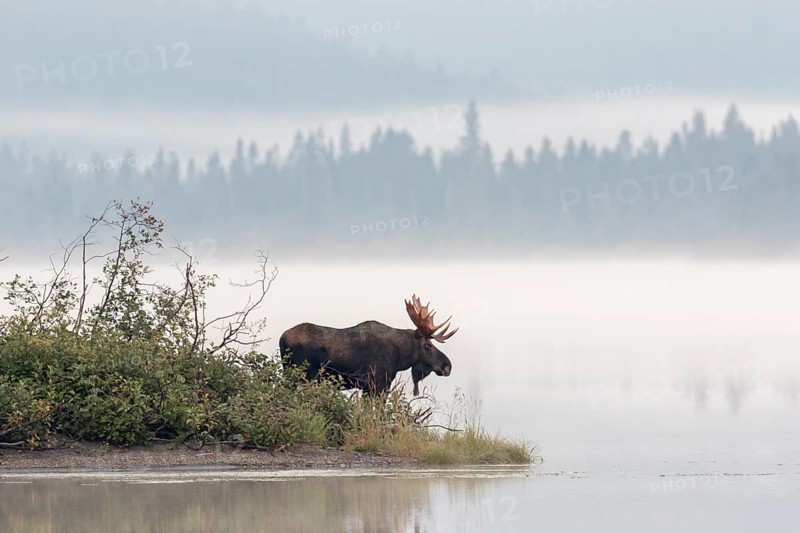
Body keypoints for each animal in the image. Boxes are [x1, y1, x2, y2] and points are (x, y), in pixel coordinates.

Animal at [279, 294, 458, 396]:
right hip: (304, 376)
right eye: (428, 345)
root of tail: (282, 339)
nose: (447, 365)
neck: (400, 357)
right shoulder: (377, 383)